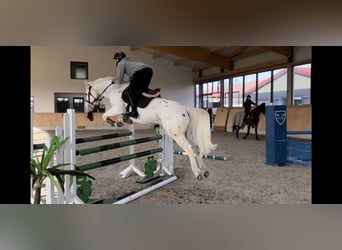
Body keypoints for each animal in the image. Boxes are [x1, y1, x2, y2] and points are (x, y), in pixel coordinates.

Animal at [85, 76, 218, 180]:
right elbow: (118, 117)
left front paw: (114, 122)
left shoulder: (118, 108)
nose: (90, 107)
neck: (114, 90)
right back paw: (204, 170)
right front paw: (121, 121)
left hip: (176, 134)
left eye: (86, 93)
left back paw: (197, 173)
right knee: (197, 148)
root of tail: (184, 108)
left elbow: (105, 115)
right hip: (186, 134)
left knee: (189, 149)